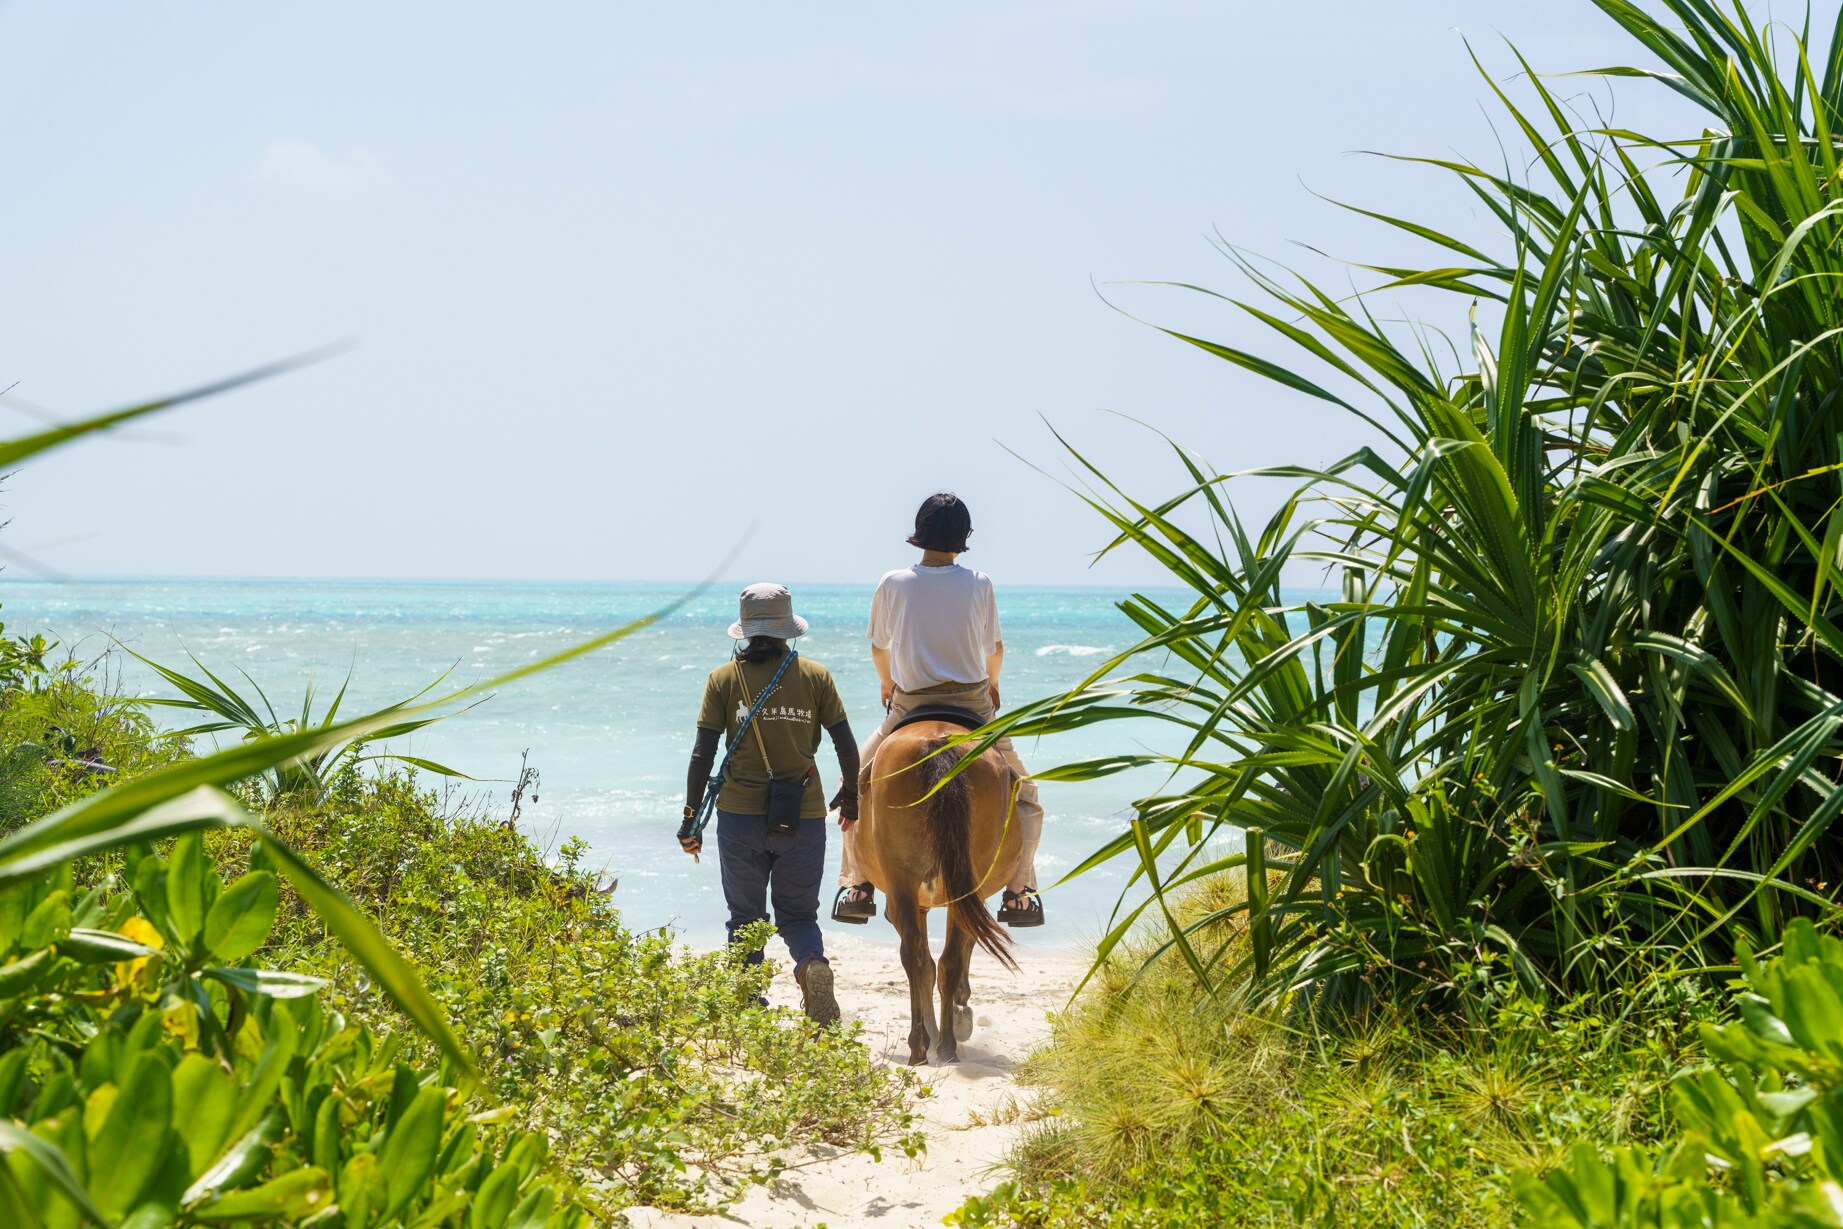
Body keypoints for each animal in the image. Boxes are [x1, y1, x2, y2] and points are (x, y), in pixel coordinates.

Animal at [853, 717, 1020, 1065]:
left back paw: (926, 1043)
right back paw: (941, 1043)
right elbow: (944, 958)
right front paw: (958, 1011)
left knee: (919, 955)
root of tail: (937, 740)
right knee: (941, 959)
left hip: (905, 882)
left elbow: (928, 962)